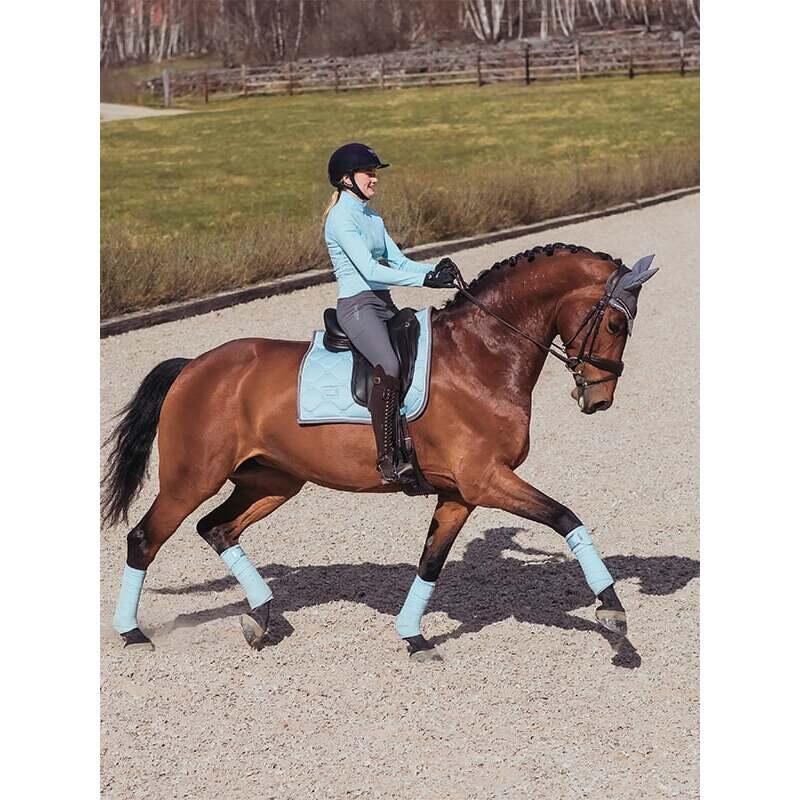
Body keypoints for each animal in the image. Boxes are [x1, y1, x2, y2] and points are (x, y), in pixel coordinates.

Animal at [102, 242, 658, 659]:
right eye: (616, 325)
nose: (599, 399)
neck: (482, 354)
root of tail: (195, 365)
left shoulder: (460, 494)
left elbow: (430, 563)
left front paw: (413, 637)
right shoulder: (486, 479)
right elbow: (566, 518)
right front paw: (612, 611)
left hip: (273, 480)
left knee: (216, 529)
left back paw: (260, 617)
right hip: (192, 479)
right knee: (145, 538)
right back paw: (133, 632)